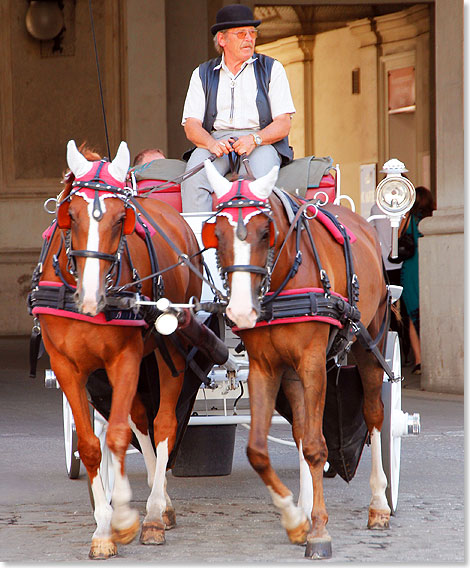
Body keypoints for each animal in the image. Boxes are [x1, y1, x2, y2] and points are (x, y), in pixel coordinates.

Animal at [31, 140, 202, 556]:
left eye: (120, 217)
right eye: (72, 216)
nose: (92, 297)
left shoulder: (123, 359)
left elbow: (118, 435)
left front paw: (125, 518)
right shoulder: (68, 366)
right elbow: (94, 445)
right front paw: (104, 528)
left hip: (168, 350)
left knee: (162, 422)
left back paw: (155, 513)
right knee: (140, 419)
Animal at [204, 160, 392, 560]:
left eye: (264, 232)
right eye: (218, 234)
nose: (241, 311)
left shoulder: (311, 363)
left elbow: (318, 447)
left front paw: (318, 531)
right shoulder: (265, 368)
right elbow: (260, 450)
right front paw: (295, 520)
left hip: (370, 345)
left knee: (373, 416)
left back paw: (379, 506)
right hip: (293, 375)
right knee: (302, 429)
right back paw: (305, 507)